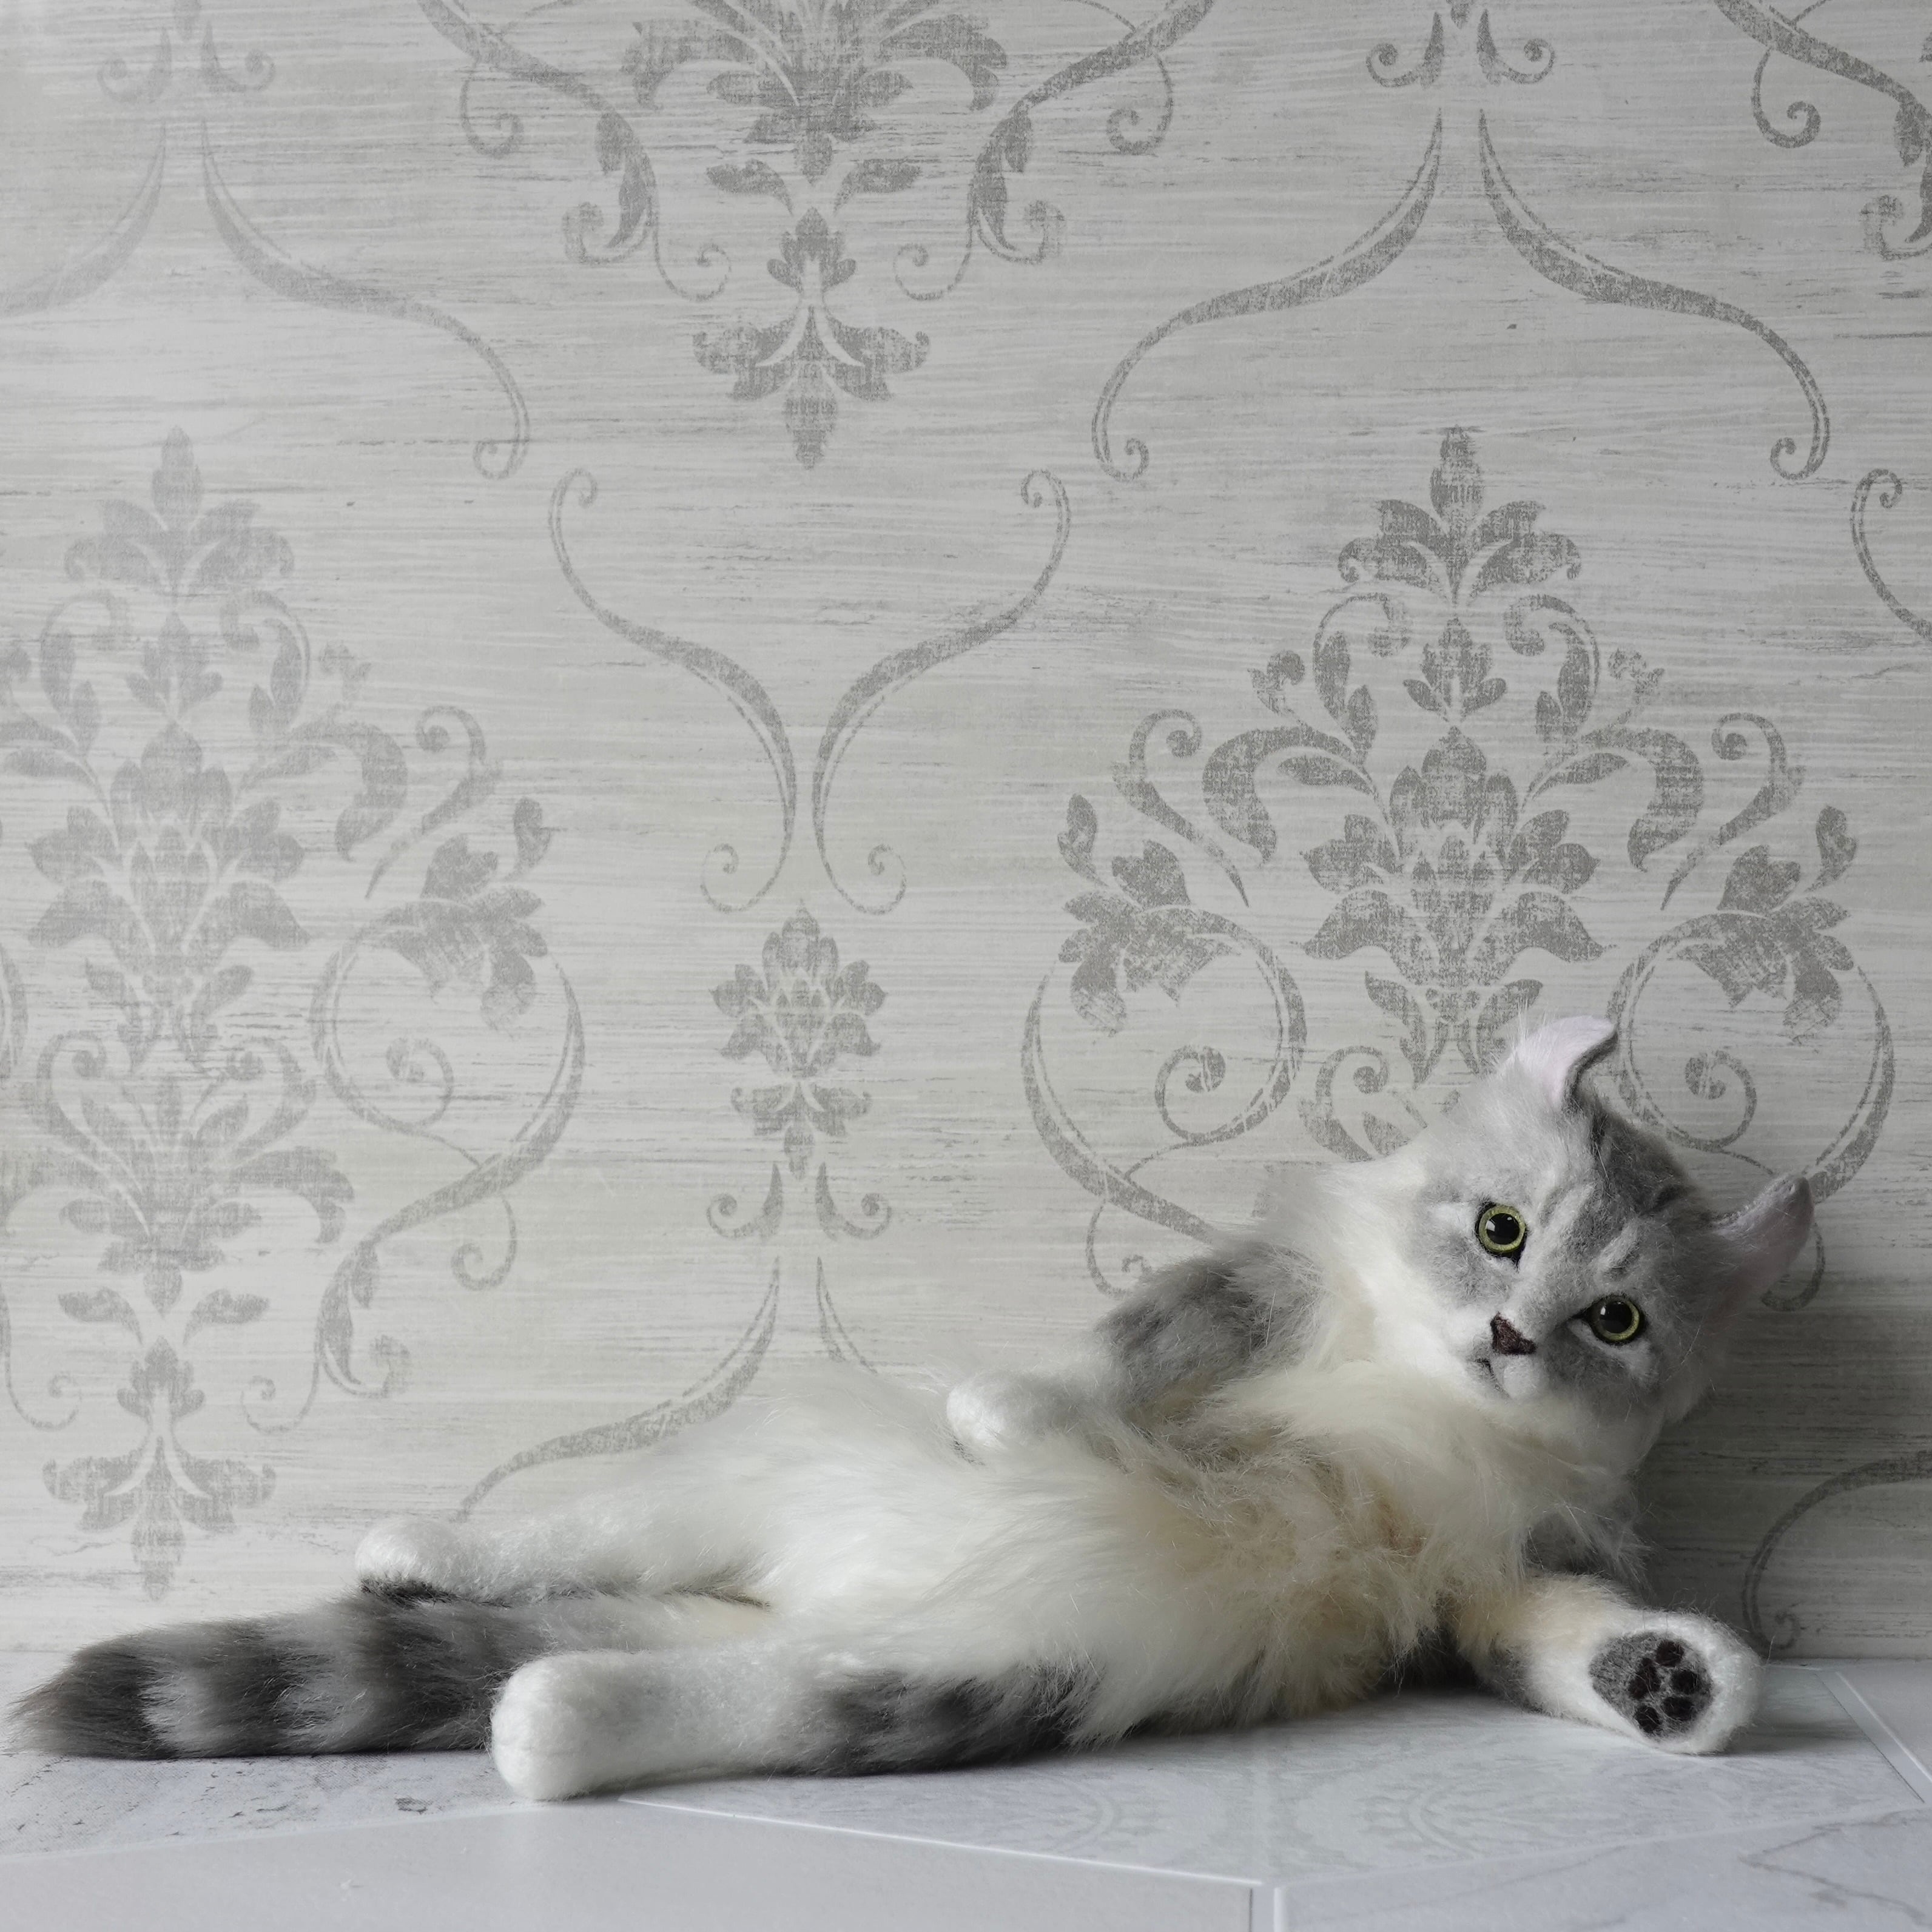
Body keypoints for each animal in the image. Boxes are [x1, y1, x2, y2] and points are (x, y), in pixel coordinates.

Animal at [15, 1016, 1812, 1801]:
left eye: (1614, 1318)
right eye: (1501, 1229)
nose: (1508, 1334)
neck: (1421, 1401)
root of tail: (792, 1596)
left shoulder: (1490, 1566)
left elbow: (1556, 1632)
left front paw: (1673, 1684)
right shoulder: (1270, 1297)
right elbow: (1144, 1347)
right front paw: (1018, 1412)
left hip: (991, 1669)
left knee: (714, 1700)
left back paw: (554, 1720)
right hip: (726, 1502)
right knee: (561, 1534)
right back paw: (419, 1550)